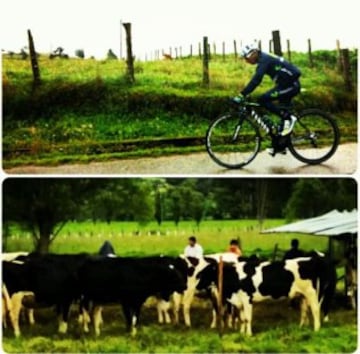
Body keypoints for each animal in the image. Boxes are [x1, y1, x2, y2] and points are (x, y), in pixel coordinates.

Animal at [195, 254, 336, 334]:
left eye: (205, 272)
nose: (196, 286)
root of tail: (311, 259)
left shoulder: (247, 299)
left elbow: (247, 318)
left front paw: (248, 335)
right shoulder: (239, 301)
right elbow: (242, 318)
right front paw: (241, 333)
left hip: (312, 293)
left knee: (315, 310)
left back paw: (316, 329)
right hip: (302, 295)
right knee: (304, 310)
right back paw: (302, 327)